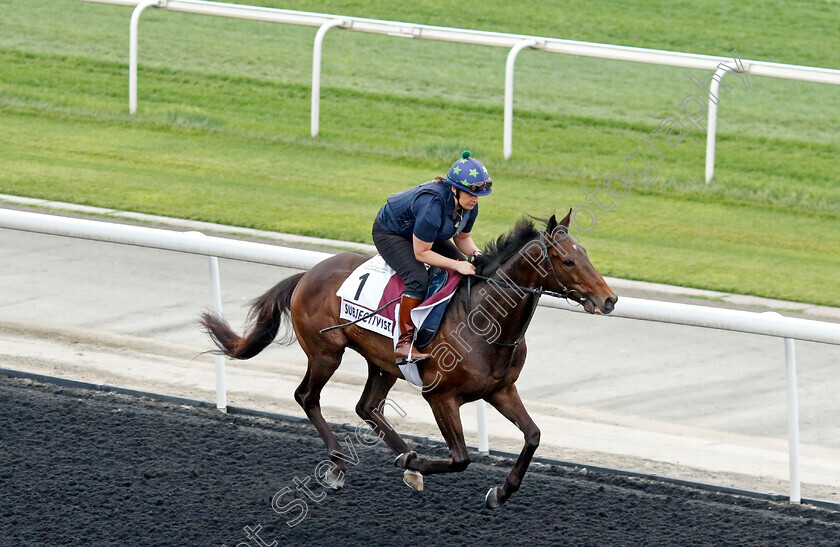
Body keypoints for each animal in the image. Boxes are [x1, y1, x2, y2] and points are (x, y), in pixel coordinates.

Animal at [199, 211, 612, 510]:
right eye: (567, 260)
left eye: (587, 254)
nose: (609, 300)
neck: (484, 321)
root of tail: (308, 273)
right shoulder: (440, 396)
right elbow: (461, 458)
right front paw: (415, 465)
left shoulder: (500, 389)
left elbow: (533, 435)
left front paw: (501, 491)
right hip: (326, 352)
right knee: (307, 397)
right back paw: (340, 464)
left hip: (383, 363)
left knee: (366, 407)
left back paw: (401, 458)